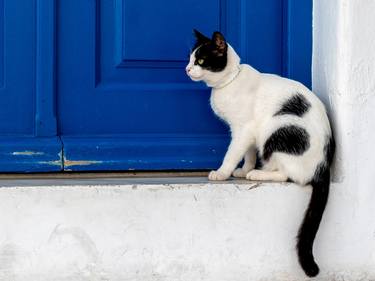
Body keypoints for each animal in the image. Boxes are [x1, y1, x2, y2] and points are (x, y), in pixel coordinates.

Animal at [187, 29, 336, 276]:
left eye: (200, 60)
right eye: (190, 58)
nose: (187, 69)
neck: (231, 81)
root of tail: (323, 165)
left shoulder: (243, 129)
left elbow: (233, 153)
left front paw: (222, 173)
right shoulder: (249, 132)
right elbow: (248, 153)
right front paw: (242, 169)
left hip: (278, 129)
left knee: (288, 175)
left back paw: (257, 174)